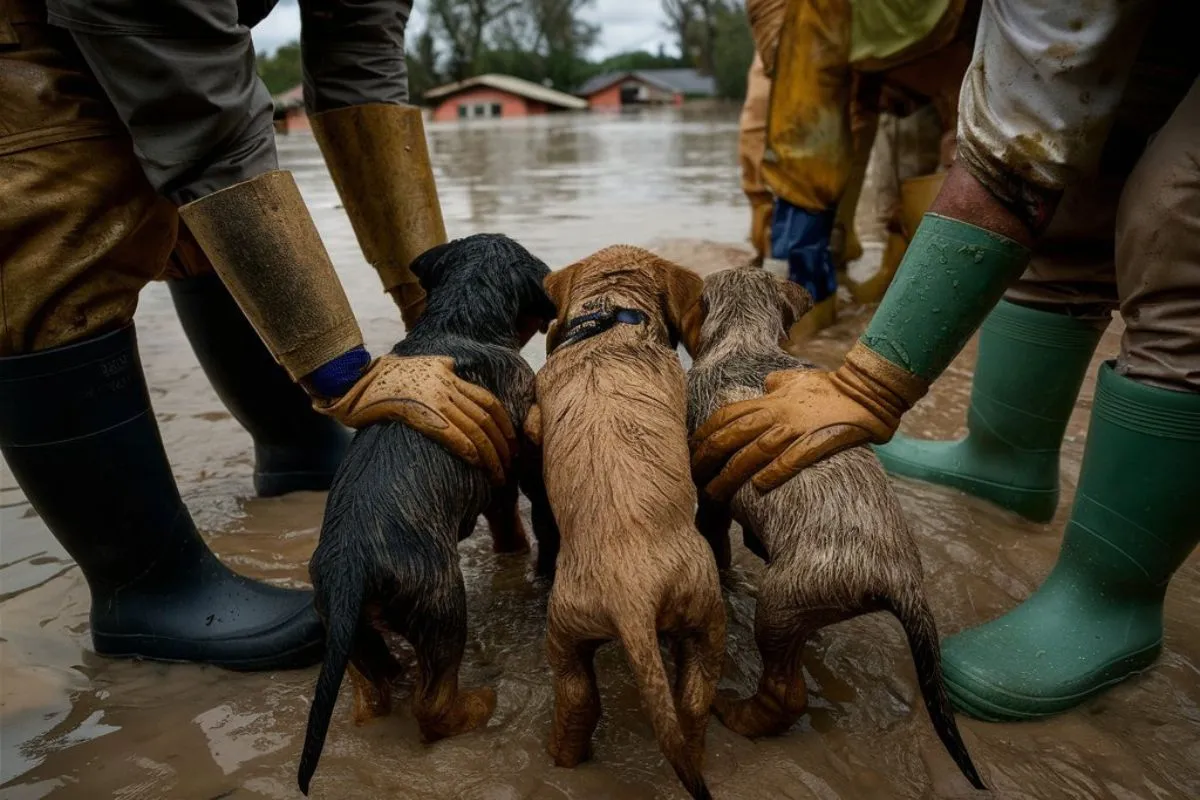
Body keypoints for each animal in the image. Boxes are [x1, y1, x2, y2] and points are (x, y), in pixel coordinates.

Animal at [295, 231, 556, 796]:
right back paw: (477, 706)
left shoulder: (494, 470)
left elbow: (508, 527)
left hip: (348, 631)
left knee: (372, 692)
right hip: (440, 609)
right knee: (432, 705)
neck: (455, 322)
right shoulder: (521, 448)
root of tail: (350, 570)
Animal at [530, 247, 724, 796]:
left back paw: (561, 760)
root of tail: (632, 596)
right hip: (702, 614)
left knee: (580, 700)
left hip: (567, 631)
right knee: (692, 700)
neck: (613, 318)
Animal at [686, 267, 984, 786]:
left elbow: (717, 539)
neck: (744, 342)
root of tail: (902, 584)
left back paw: (736, 711)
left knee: (785, 696)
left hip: (781, 607)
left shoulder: (713, 485)